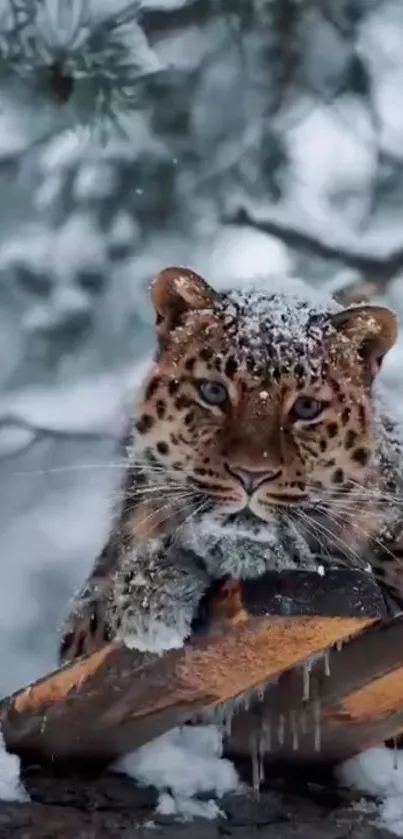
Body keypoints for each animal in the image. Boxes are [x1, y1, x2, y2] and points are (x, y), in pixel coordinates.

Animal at [59, 266, 403, 668]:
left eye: (306, 408)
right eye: (213, 392)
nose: (251, 474)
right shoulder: (80, 621)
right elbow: (95, 619)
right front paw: (150, 590)